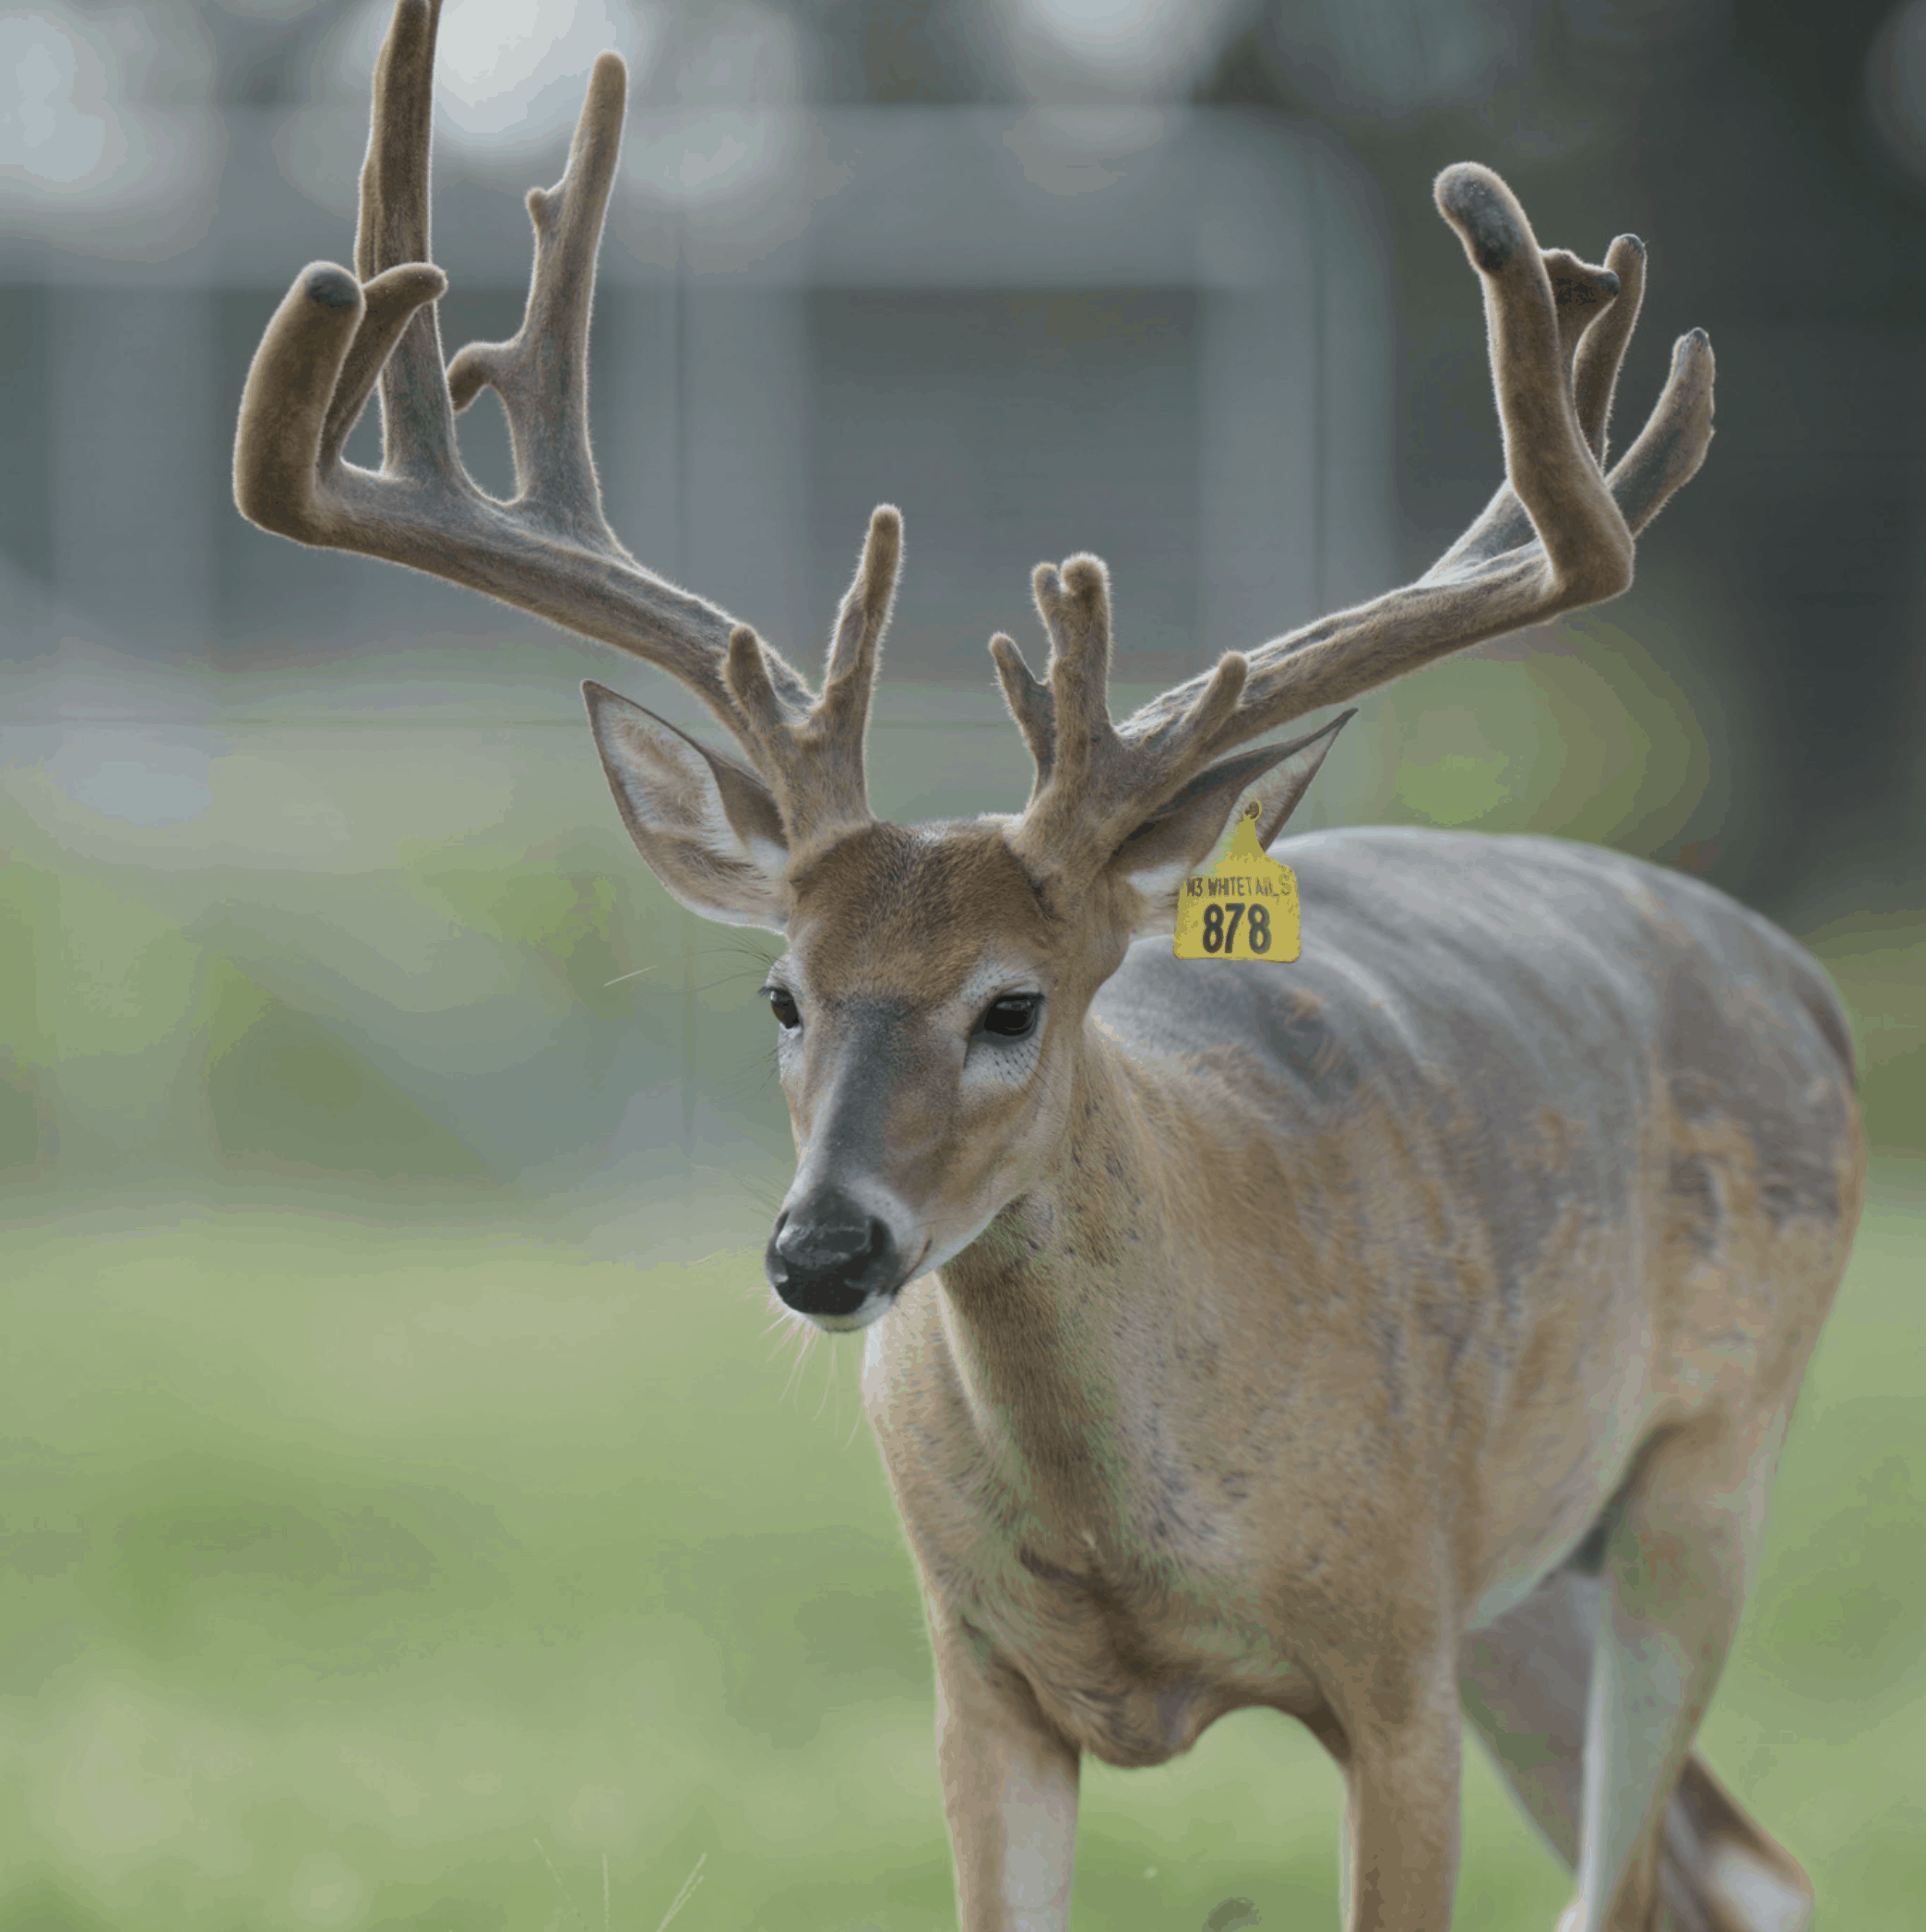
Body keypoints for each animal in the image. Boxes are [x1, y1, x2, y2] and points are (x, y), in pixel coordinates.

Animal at [232, 5, 1864, 1928]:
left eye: (1011, 1001)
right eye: (780, 993)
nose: (823, 1248)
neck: (1123, 1551)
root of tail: (1801, 980)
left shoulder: (1395, 1661)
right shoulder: (976, 1672)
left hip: (1700, 1473)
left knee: (1650, 1869)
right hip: (1532, 1578)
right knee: (1732, 1861)